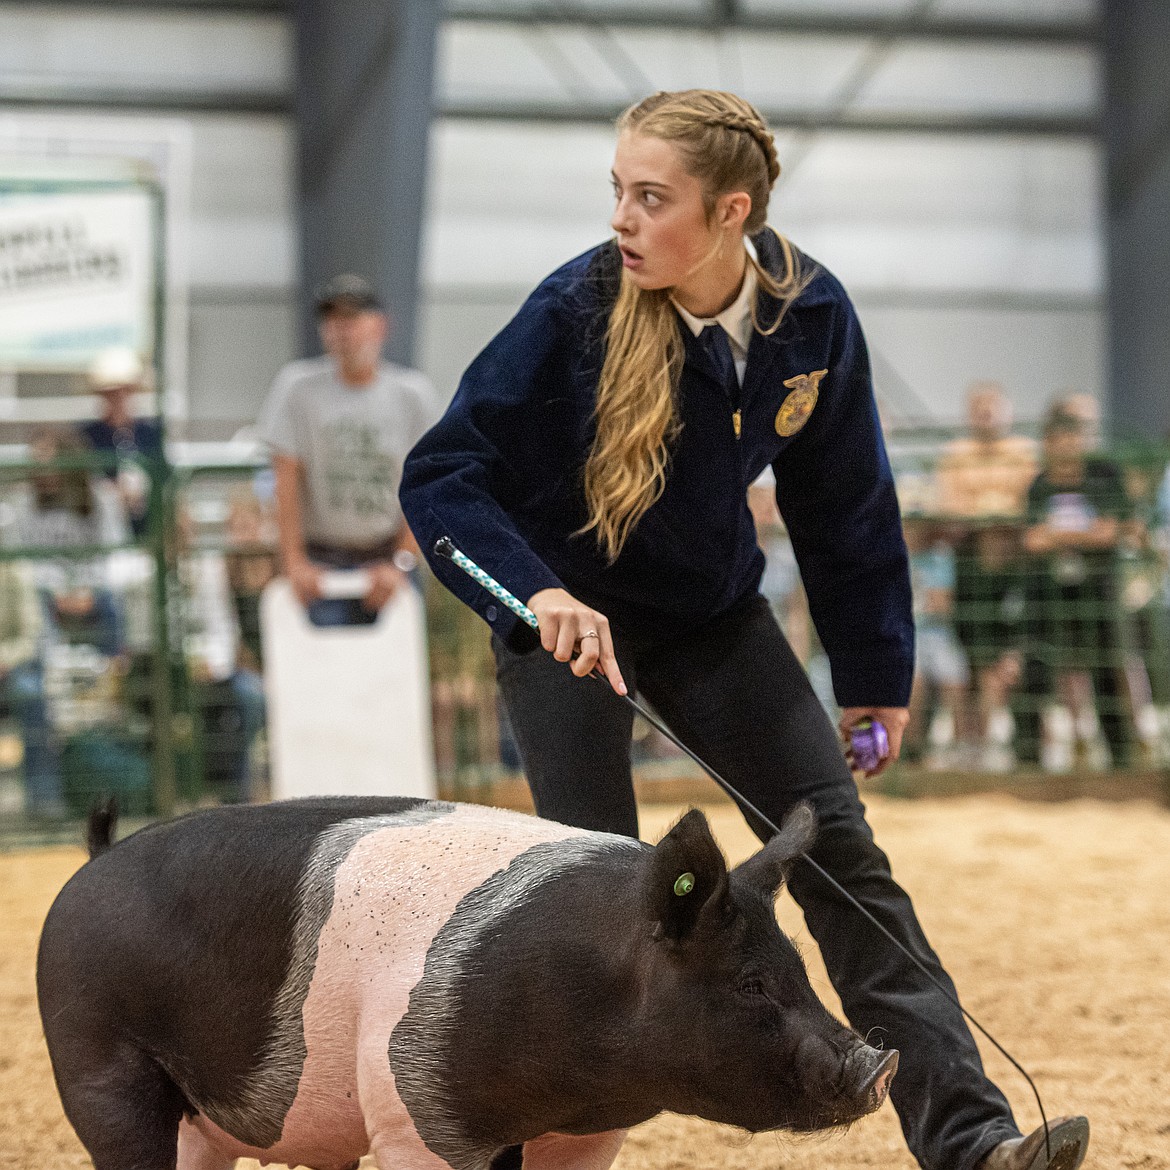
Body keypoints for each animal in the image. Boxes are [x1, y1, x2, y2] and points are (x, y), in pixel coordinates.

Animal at [36, 795, 893, 1170]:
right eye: (750, 984)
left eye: (800, 969)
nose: (877, 1062)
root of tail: (88, 863)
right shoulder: (414, 1113)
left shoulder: (589, 1133)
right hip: (95, 1066)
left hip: (199, 1119)